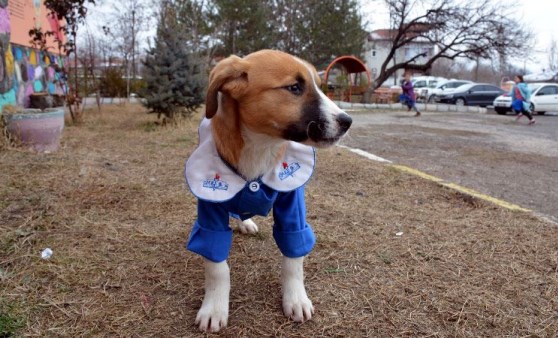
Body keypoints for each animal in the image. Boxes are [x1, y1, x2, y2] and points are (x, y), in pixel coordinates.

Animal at [186, 50, 352, 332]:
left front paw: (295, 299)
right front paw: (214, 307)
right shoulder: (210, 205)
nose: (347, 121)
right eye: (295, 88)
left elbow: (294, 258)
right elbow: (217, 267)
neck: (261, 147)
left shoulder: (292, 204)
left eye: (319, 86)